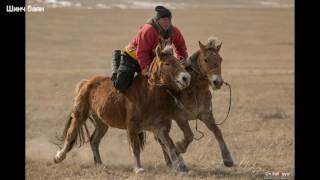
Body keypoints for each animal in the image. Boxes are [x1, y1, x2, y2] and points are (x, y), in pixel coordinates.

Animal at [53, 43, 191, 173]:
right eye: (167, 63)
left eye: (179, 61)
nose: (186, 78)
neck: (147, 94)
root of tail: (86, 82)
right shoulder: (131, 127)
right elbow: (135, 147)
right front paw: (138, 168)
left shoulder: (159, 127)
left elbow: (169, 144)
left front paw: (180, 165)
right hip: (80, 114)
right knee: (71, 134)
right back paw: (58, 157)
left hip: (102, 123)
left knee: (94, 140)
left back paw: (100, 164)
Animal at [87, 37, 235, 169]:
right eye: (206, 59)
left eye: (220, 59)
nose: (217, 82)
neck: (193, 89)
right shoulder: (179, 117)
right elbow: (189, 136)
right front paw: (178, 148)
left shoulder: (205, 114)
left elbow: (217, 131)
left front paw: (228, 159)